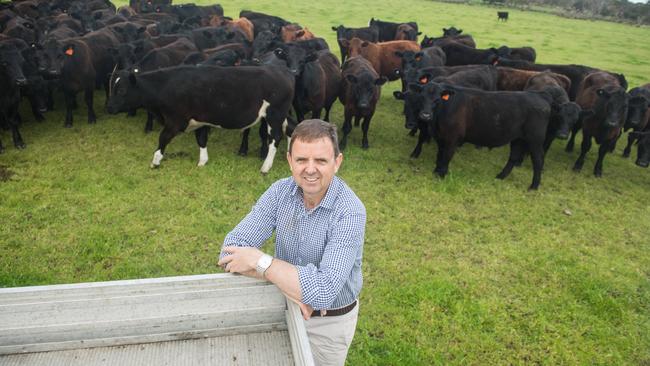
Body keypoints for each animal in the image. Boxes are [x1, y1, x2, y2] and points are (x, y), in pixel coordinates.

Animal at [107, 64, 294, 173]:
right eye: (111, 87)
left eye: (122, 90)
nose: (109, 108)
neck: (165, 85)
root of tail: (283, 71)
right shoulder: (201, 120)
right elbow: (201, 139)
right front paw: (203, 161)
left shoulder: (175, 121)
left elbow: (163, 138)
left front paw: (155, 162)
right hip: (283, 114)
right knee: (291, 129)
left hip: (274, 115)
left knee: (275, 138)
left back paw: (265, 167)